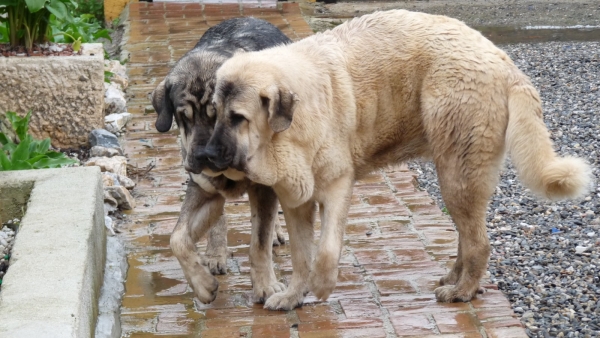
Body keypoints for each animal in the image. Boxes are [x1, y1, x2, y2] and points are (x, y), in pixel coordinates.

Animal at [150, 17, 290, 304]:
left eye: (222, 115)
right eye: (184, 117)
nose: (204, 155)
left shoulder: (264, 187)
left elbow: (259, 242)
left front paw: (266, 286)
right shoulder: (202, 187)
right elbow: (177, 238)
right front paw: (202, 284)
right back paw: (216, 254)